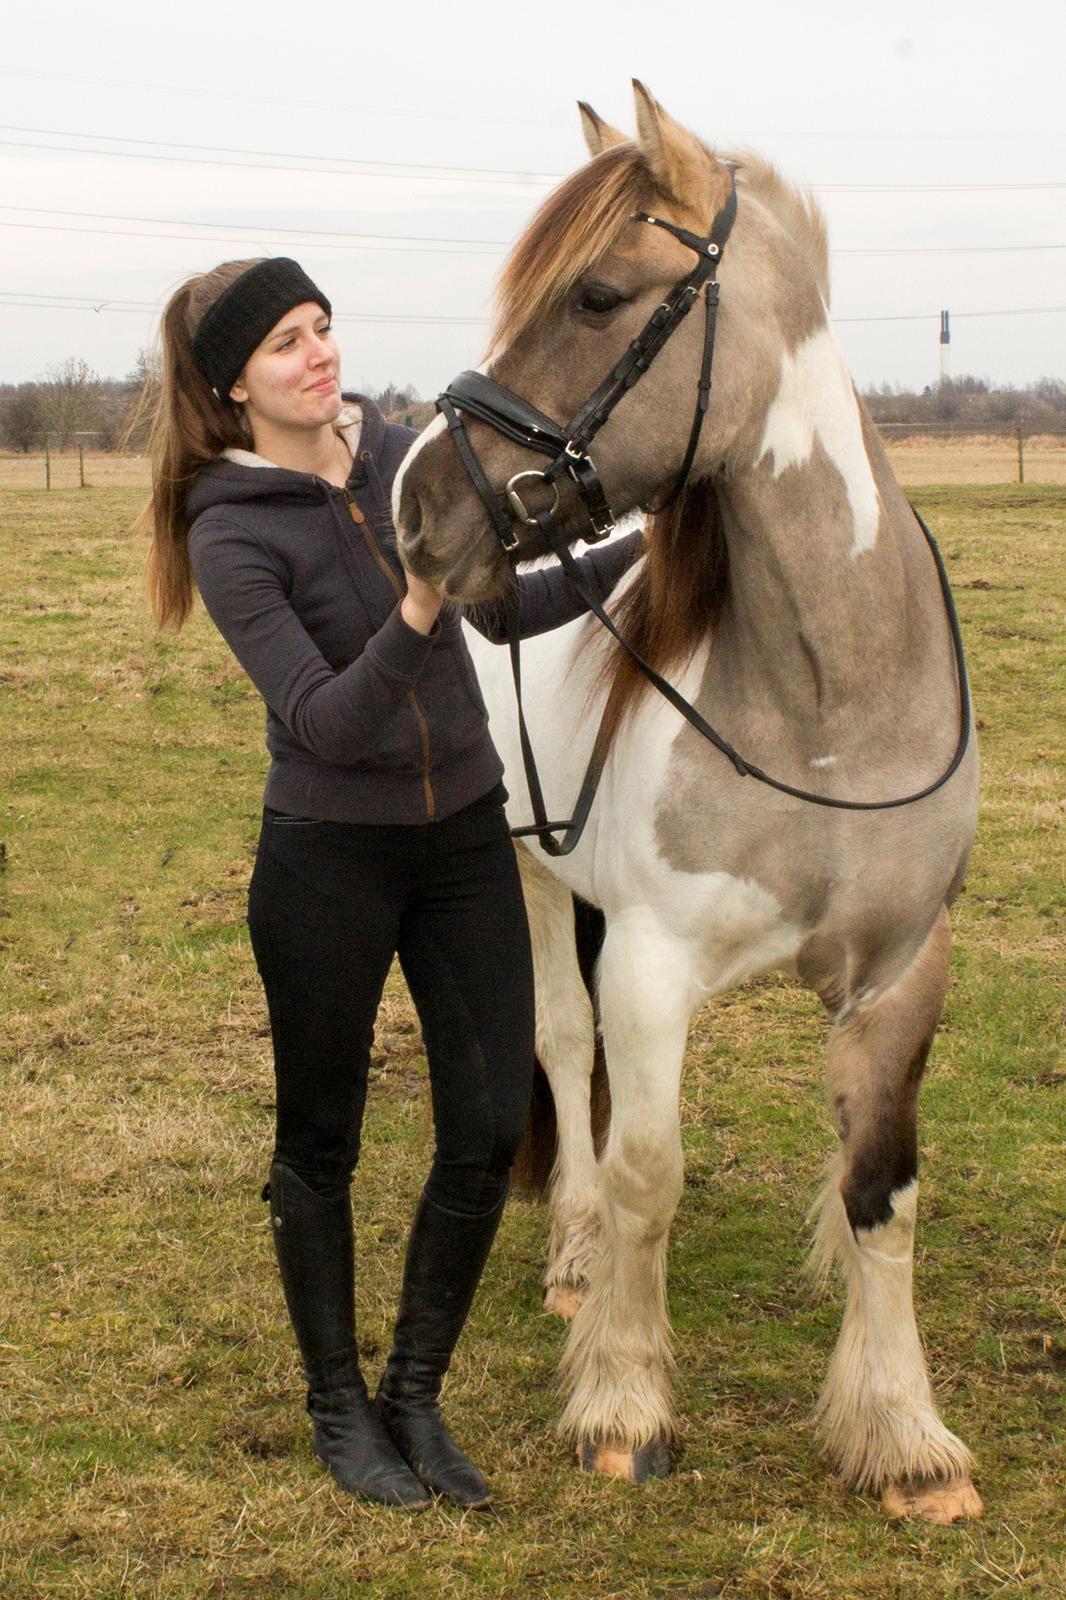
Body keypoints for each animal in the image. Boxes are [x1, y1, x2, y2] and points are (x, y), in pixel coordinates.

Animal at [392, 78, 979, 1523]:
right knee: (563, 1054)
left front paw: (903, 1436)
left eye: (598, 296)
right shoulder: (650, 968)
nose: (417, 511)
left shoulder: (899, 976)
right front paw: (620, 1401)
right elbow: (644, 1170)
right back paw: (573, 1259)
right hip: (536, 877)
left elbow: (881, 1192)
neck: (831, 709)